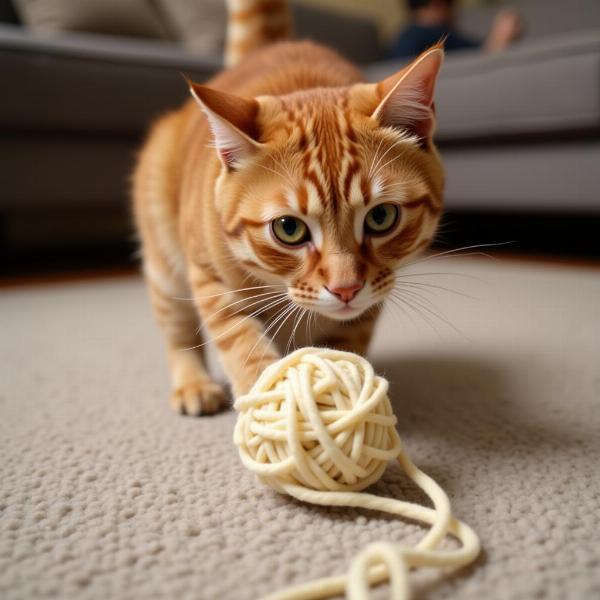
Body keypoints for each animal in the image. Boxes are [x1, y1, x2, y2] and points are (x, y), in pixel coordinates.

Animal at [134, 0, 442, 418]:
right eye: (289, 229)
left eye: (381, 217)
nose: (345, 289)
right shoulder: (210, 279)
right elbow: (242, 345)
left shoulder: (370, 301)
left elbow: (346, 347)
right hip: (166, 267)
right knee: (177, 332)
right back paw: (193, 383)